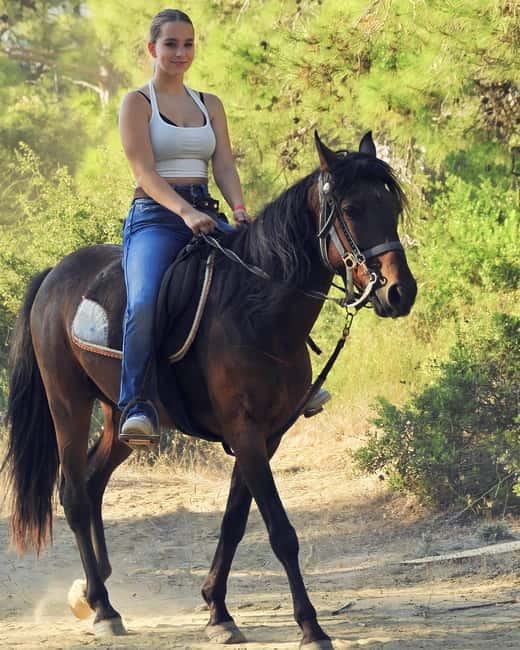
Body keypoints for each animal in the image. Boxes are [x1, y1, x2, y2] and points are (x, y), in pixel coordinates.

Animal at [1, 132, 417, 648]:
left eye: (391, 207)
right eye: (352, 208)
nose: (400, 293)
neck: (256, 309)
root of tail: (53, 275)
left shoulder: (267, 435)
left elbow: (235, 521)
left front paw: (218, 611)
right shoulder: (245, 432)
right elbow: (280, 532)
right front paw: (311, 626)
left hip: (124, 418)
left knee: (95, 482)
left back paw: (95, 595)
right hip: (68, 405)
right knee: (75, 494)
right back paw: (105, 611)